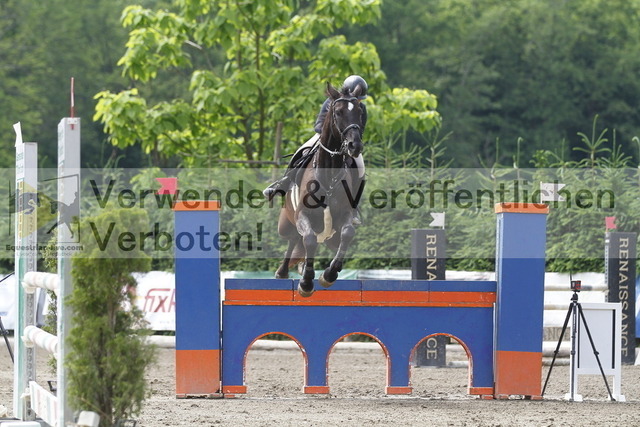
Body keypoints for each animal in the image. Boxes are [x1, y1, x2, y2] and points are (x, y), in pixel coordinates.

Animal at [276, 82, 365, 297]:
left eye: (359, 112)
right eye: (338, 112)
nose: (355, 146)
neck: (329, 176)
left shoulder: (344, 215)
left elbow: (348, 233)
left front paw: (329, 274)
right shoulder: (302, 215)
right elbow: (309, 240)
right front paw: (306, 282)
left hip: (329, 236)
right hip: (286, 223)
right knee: (293, 239)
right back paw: (283, 272)